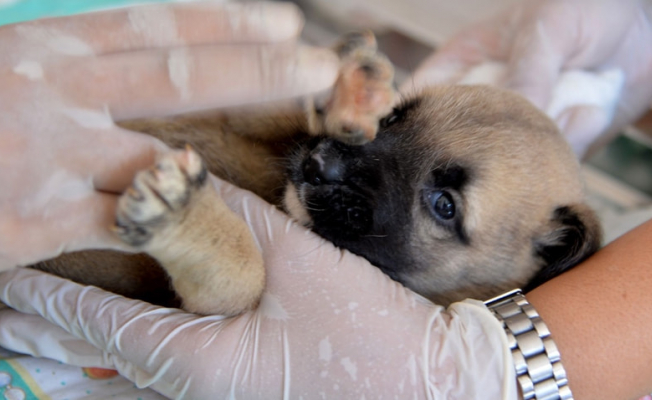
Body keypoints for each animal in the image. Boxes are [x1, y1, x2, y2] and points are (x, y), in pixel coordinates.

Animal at [30, 33, 600, 312]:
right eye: (395, 118)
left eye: (444, 206)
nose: (318, 165)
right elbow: (269, 105)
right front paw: (348, 87)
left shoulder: (199, 305)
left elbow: (243, 272)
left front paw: (184, 212)